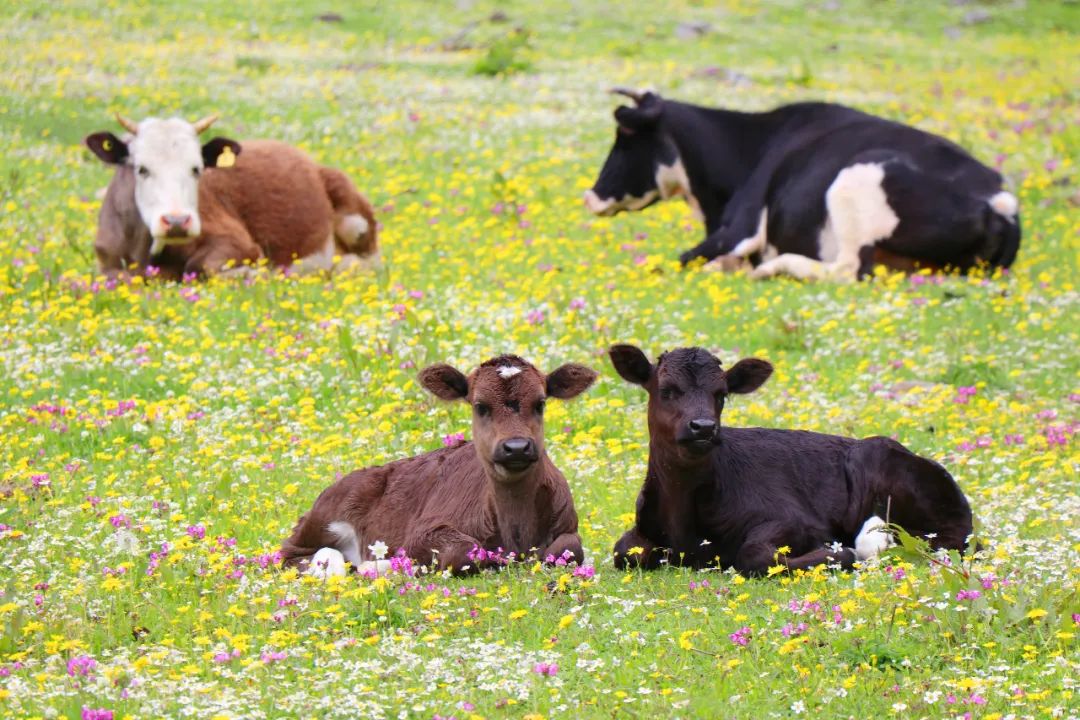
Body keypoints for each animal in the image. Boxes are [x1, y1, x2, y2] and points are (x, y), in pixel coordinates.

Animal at [85, 113, 380, 280]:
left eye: (196, 168)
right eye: (142, 169)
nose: (177, 221)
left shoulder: (239, 243)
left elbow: (204, 267)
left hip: (356, 224)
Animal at [280, 351, 600, 578]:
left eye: (540, 403)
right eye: (480, 406)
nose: (517, 447)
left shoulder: (567, 525)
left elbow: (570, 548)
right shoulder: (421, 533)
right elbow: (465, 549)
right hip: (323, 518)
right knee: (292, 555)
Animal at [587, 90, 1015, 280]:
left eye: (624, 137)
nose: (591, 196)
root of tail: (998, 199)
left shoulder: (740, 228)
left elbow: (678, 259)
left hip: (853, 182)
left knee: (848, 268)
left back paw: (771, 268)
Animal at [609, 345, 980, 578]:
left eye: (722, 394)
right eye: (666, 390)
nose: (703, 427)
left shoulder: (797, 520)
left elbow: (753, 553)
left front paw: (837, 554)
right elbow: (624, 550)